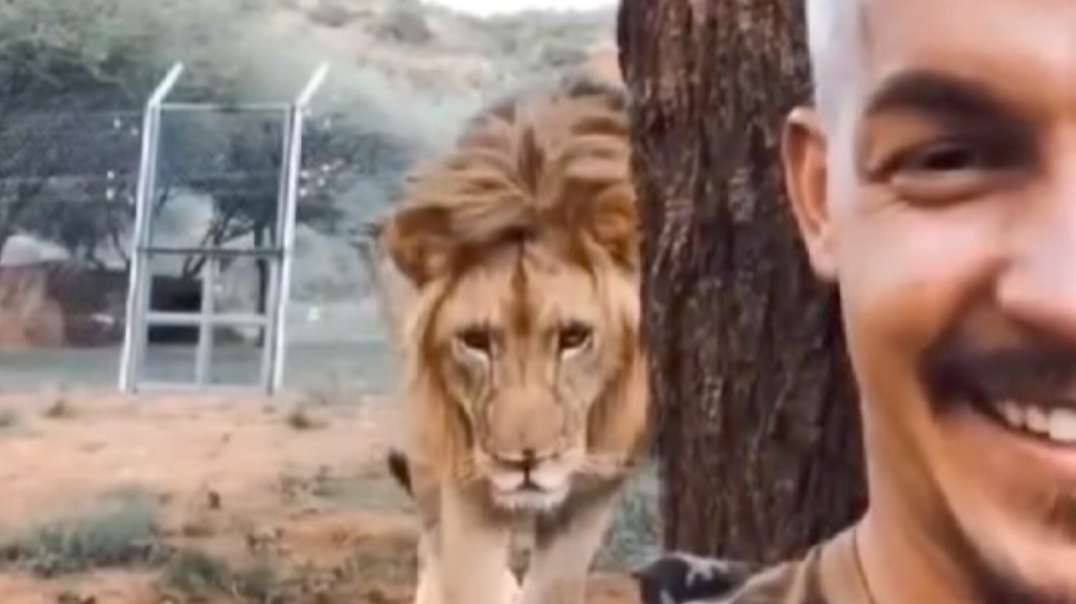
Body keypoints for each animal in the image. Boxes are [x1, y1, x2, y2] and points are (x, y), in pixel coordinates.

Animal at [378, 75, 645, 602]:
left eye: (574, 337)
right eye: (475, 340)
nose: (524, 461)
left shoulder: (596, 482)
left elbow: (555, 584)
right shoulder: (467, 474)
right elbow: (470, 578)